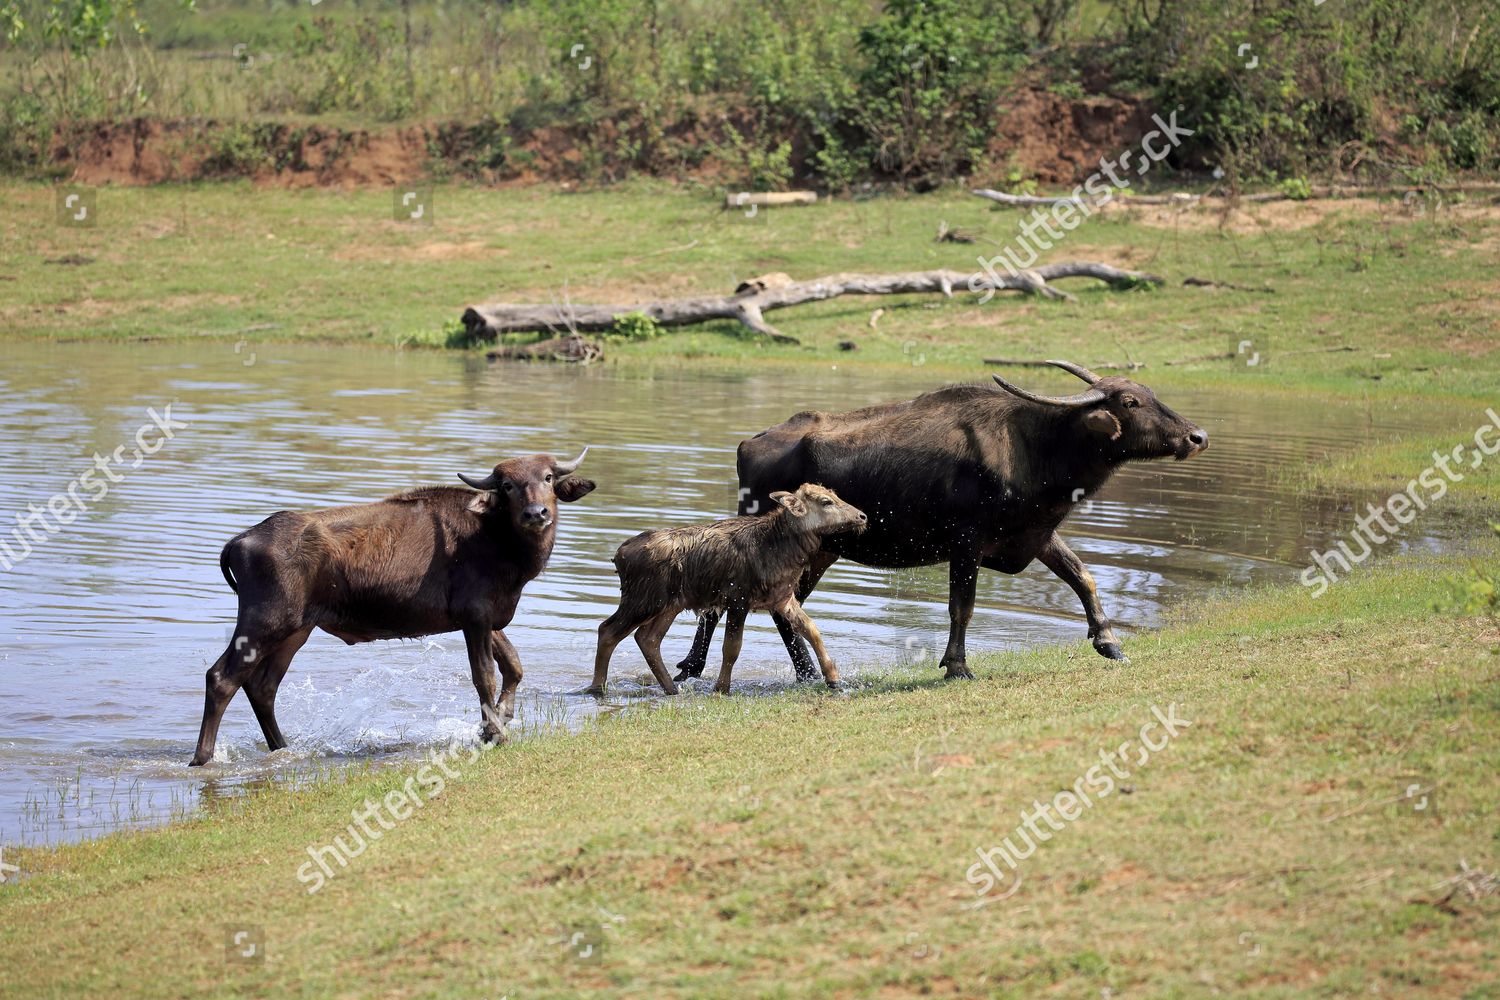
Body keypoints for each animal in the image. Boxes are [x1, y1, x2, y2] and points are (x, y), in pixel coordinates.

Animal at [192, 452, 597, 767]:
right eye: (508, 486)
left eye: (547, 477)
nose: (535, 513)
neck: (503, 546)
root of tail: (239, 542)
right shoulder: (475, 616)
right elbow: (485, 676)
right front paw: (495, 734)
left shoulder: (486, 618)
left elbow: (513, 666)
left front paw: (499, 720)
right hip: (265, 620)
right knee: (221, 677)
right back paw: (202, 758)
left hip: (297, 629)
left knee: (263, 686)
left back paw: (282, 747)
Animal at [585, 482, 870, 695]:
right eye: (826, 501)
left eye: (835, 495)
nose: (862, 516)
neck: (784, 550)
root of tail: (619, 556)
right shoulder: (738, 598)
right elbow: (732, 648)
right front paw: (722, 688)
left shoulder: (782, 598)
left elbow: (812, 630)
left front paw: (833, 677)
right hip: (643, 600)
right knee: (608, 631)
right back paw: (597, 687)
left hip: (670, 604)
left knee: (647, 638)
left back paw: (671, 689)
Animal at [672, 364, 1206, 683]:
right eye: (1129, 403)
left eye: (1150, 393)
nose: (1196, 435)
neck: (1036, 445)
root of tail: (750, 443)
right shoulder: (966, 543)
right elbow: (961, 608)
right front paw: (957, 667)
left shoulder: (1036, 535)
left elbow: (1084, 578)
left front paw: (1109, 643)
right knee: (736, 603)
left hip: (821, 552)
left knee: (780, 609)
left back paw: (777, 672)